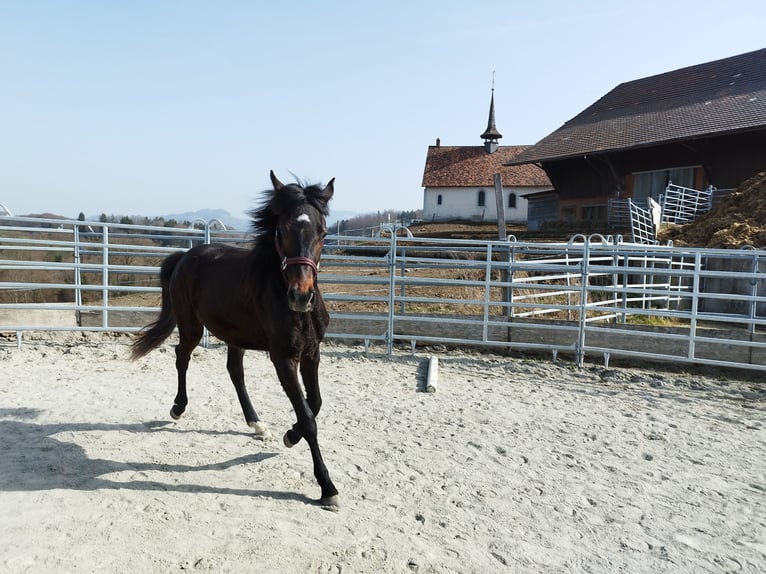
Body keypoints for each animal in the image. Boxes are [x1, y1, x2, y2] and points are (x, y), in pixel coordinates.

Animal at [130, 170, 338, 507]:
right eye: (282, 230)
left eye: (323, 231)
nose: (300, 296)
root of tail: (185, 256)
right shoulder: (283, 357)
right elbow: (308, 417)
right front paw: (327, 487)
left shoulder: (311, 352)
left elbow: (315, 403)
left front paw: (289, 435)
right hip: (192, 326)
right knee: (181, 356)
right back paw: (178, 407)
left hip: (234, 334)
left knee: (234, 372)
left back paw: (257, 425)